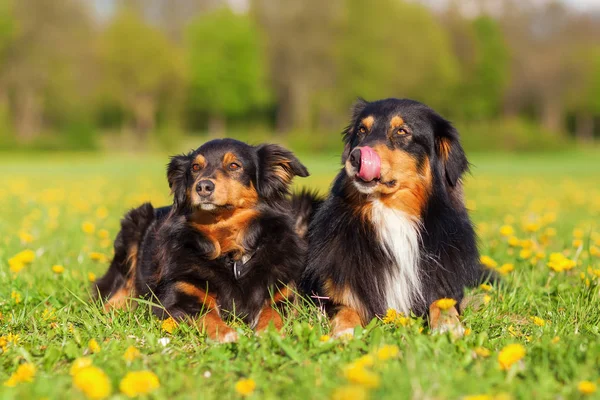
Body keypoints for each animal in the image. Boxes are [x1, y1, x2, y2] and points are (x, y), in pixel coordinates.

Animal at [95, 139, 310, 342]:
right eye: (195, 167)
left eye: (234, 165)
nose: (203, 187)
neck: (230, 254)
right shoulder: (178, 295)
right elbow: (206, 314)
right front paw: (225, 333)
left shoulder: (282, 295)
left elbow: (273, 312)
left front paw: (270, 332)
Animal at [302, 98, 486, 340]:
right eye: (362, 130)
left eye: (401, 131)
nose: (356, 157)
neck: (391, 212)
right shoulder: (337, 292)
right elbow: (346, 310)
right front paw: (344, 332)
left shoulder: (443, 283)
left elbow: (441, 303)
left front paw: (448, 327)